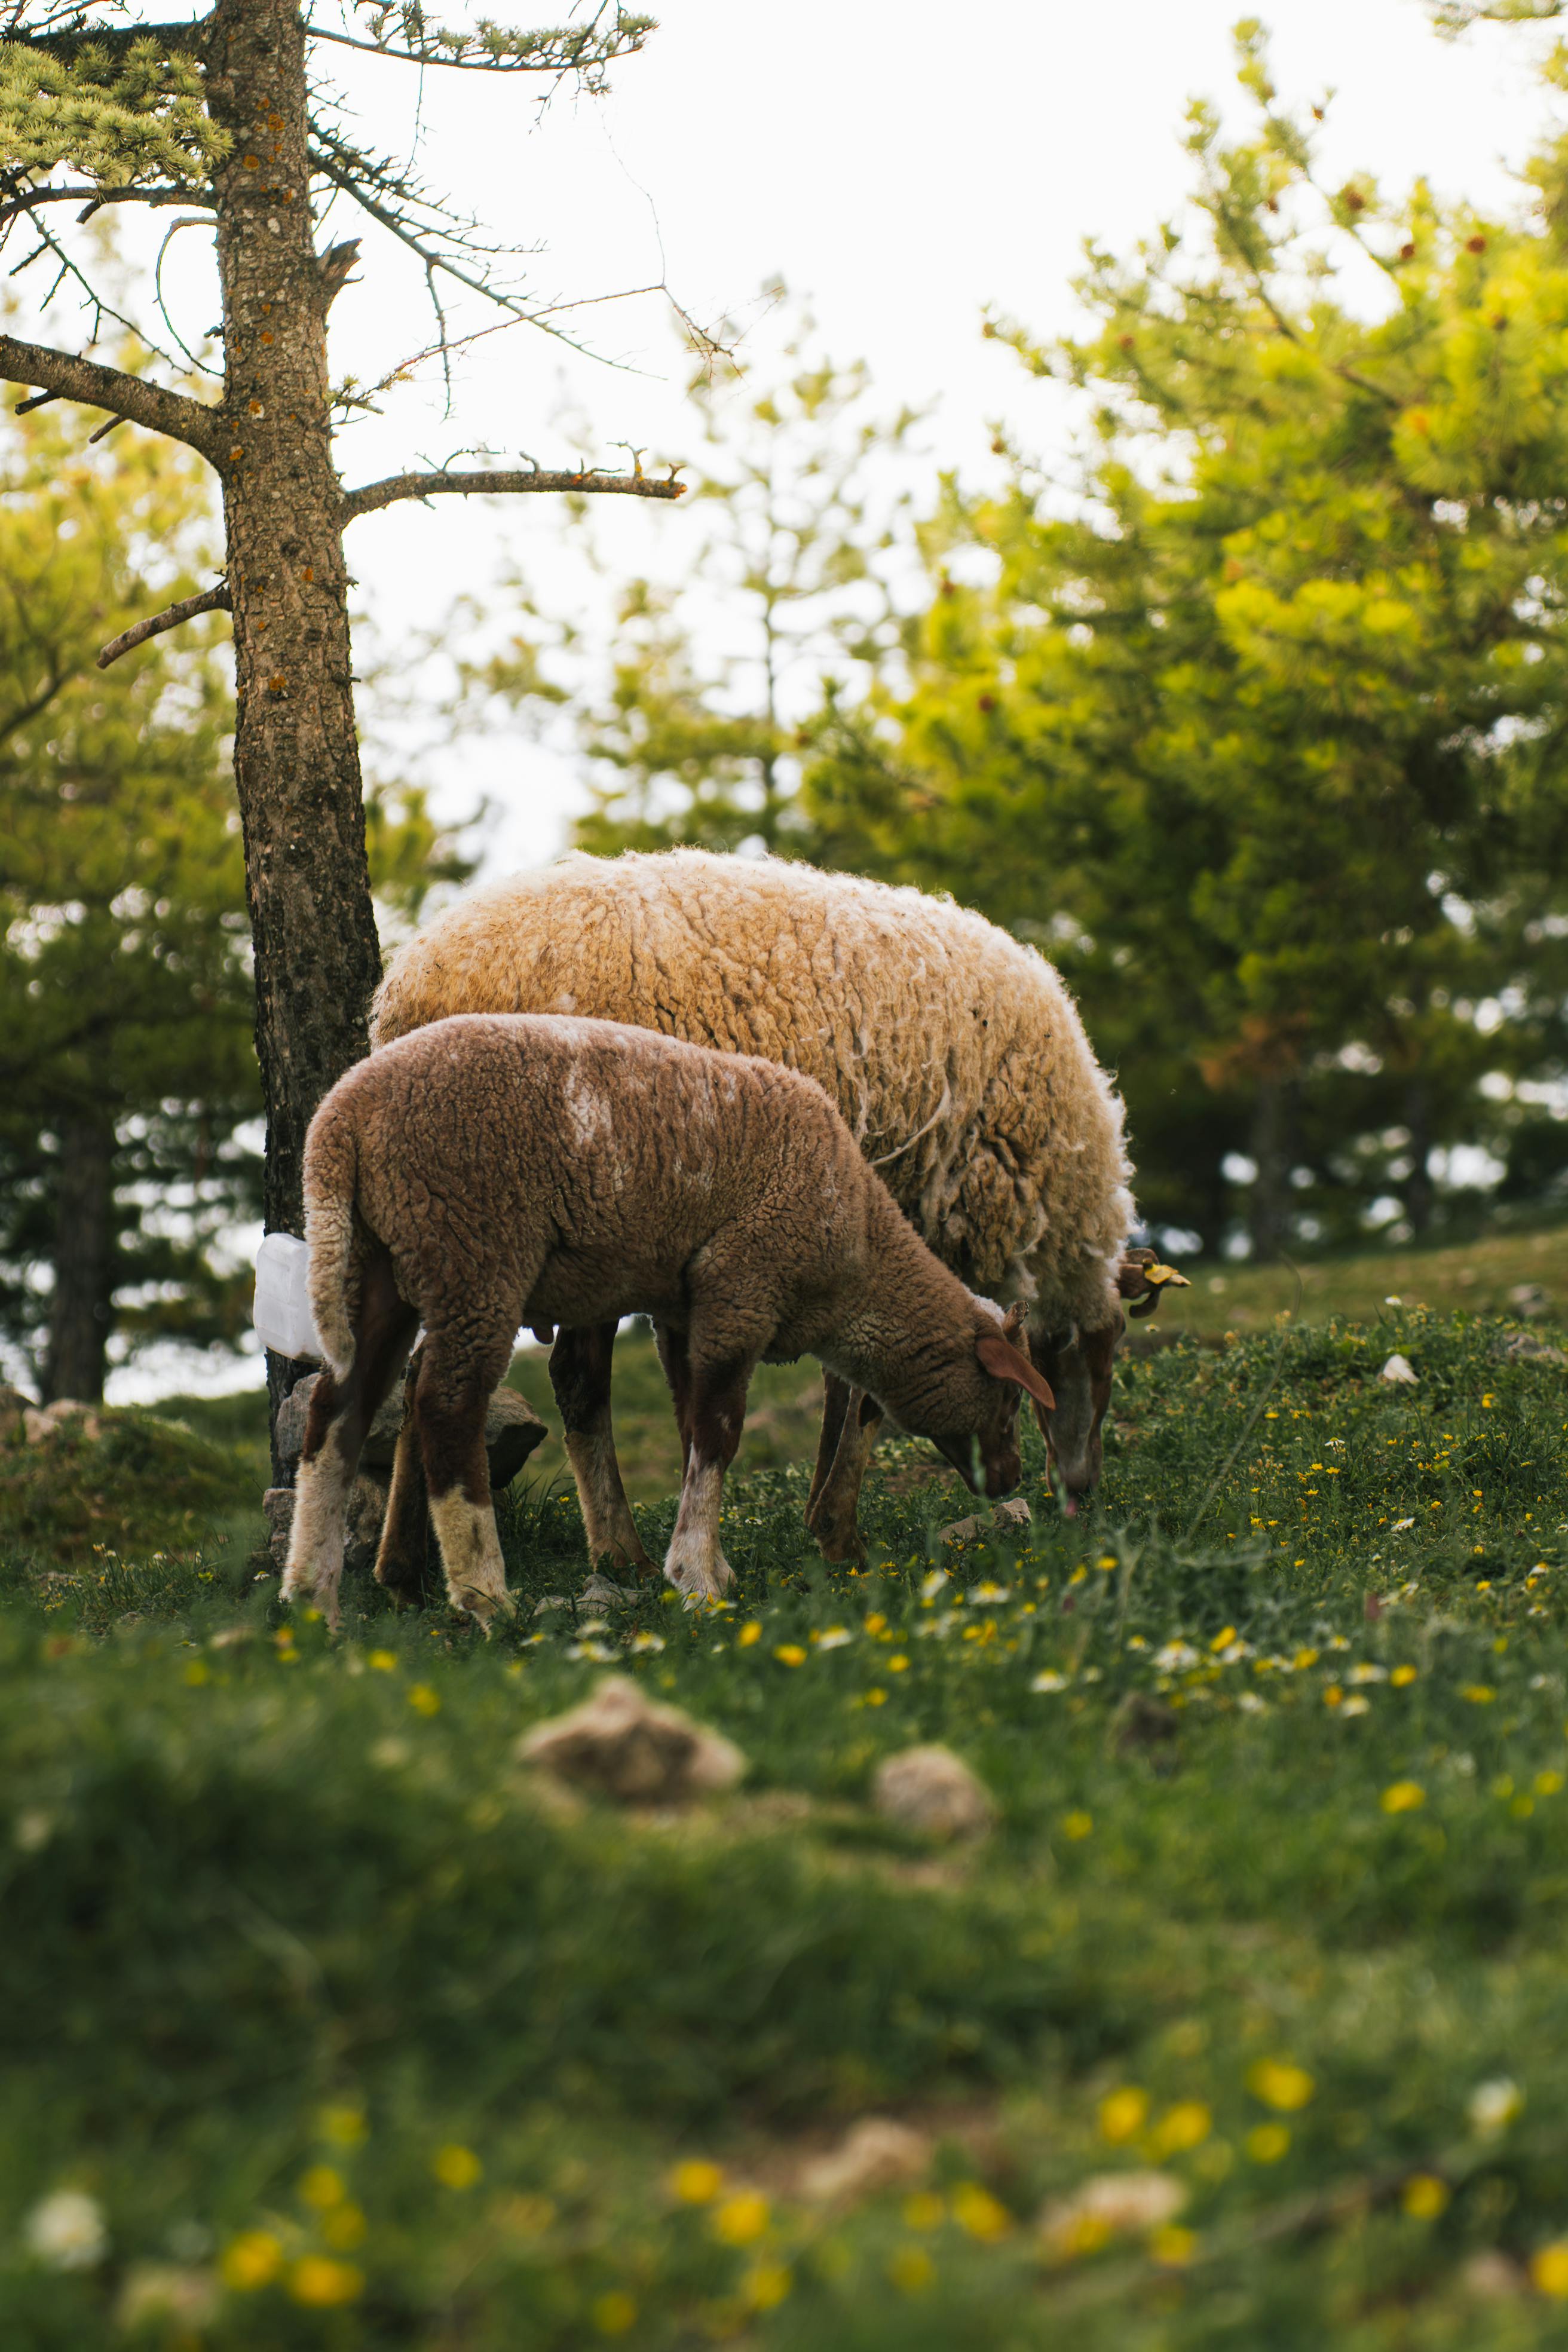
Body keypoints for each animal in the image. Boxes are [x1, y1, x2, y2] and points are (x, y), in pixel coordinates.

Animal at [280, 1013, 1055, 1629]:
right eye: (1009, 1398)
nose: (1011, 1477)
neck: (858, 1262)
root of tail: (340, 1123)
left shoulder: (690, 1307)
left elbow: (690, 1429)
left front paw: (709, 1562)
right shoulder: (743, 1285)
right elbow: (717, 1434)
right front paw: (695, 1581)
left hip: (381, 1259)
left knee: (339, 1408)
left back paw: (314, 1598)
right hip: (473, 1245)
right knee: (445, 1407)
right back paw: (483, 1596)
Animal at [371, 850, 1179, 1563]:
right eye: (1100, 1346)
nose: (1079, 1489)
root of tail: (415, 986)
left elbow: (810, 1379)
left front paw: (810, 1515)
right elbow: (861, 1392)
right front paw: (836, 1531)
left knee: (429, 1377)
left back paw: (407, 1568)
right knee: (572, 1377)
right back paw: (617, 1550)